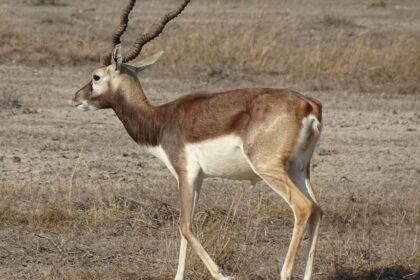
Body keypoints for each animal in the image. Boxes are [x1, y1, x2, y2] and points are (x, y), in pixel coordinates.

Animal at [71, 0, 322, 280]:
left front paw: (223, 274)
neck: (161, 119)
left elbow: (184, 226)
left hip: (269, 168)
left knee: (303, 208)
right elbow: (186, 228)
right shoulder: (199, 178)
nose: (76, 97)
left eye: (96, 76)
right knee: (317, 209)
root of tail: (307, 105)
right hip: (298, 169)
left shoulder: (185, 173)